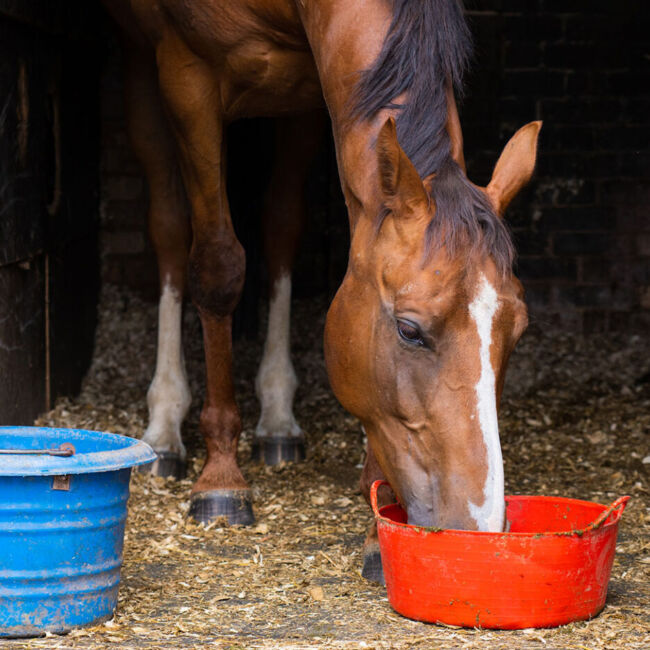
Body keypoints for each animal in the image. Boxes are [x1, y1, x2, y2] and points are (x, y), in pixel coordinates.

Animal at [103, 0, 540, 583]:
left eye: (518, 332)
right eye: (409, 330)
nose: (478, 525)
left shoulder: (321, 100)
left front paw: (377, 526)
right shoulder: (186, 75)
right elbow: (217, 267)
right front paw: (221, 479)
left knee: (279, 225)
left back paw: (277, 419)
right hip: (142, 69)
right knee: (171, 231)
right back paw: (165, 422)